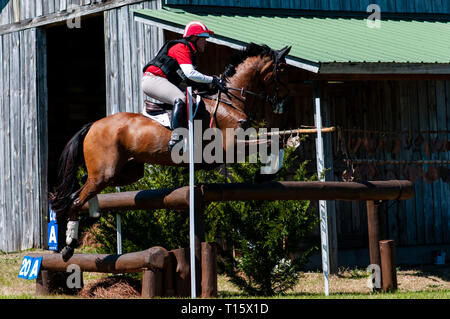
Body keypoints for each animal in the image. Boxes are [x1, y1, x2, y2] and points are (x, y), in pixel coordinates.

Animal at [49, 43, 292, 262]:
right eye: (282, 70)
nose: (284, 102)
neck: (229, 101)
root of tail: (93, 125)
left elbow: (276, 139)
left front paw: (266, 173)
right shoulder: (231, 147)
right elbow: (270, 141)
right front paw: (265, 173)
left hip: (127, 172)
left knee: (77, 192)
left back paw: (80, 227)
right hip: (105, 173)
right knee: (76, 199)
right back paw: (69, 246)